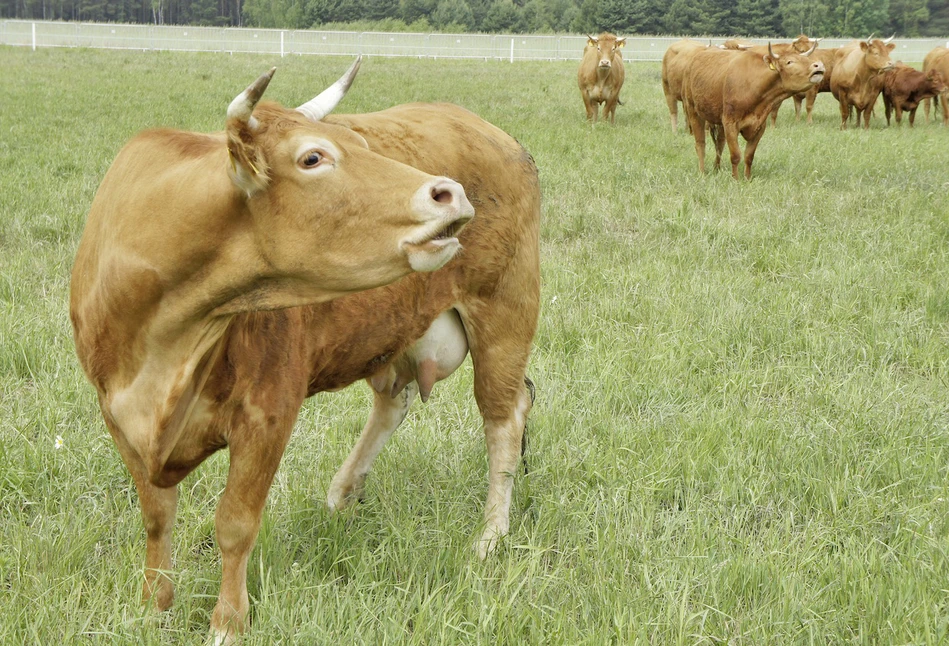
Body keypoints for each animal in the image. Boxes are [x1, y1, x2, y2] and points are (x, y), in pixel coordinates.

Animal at [70, 59, 540, 644]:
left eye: (356, 140)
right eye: (312, 157)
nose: (448, 193)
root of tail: (493, 133)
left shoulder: (269, 408)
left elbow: (235, 523)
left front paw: (228, 623)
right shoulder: (117, 415)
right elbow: (157, 517)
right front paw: (153, 607)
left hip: (506, 313)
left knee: (504, 418)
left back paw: (490, 536)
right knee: (395, 402)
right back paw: (341, 494)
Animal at [680, 43, 824, 180]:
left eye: (805, 59)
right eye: (789, 62)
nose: (818, 65)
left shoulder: (759, 127)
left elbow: (749, 156)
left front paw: (747, 178)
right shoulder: (730, 124)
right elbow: (735, 155)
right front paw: (736, 179)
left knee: (719, 144)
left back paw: (717, 168)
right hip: (693, 111)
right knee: (700, 144)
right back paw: (702, 172)